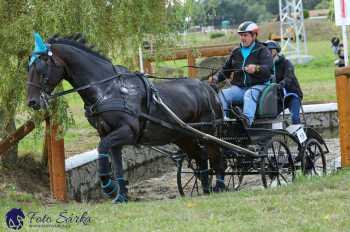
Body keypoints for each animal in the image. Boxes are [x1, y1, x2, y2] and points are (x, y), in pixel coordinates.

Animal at [26, 34, 224, 203]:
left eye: (41, 68)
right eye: (28, 67)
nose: (32, 102)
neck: (108, 89)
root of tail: (208, 88)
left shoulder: (127, 132)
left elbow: (102, 149)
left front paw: (109, 187)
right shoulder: (109, 134)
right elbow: (116, 162)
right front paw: (121, 195)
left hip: (207, 132)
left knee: (217, 155)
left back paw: (220, 186)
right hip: (184, 136)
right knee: (201, 157)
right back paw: (206, 189)